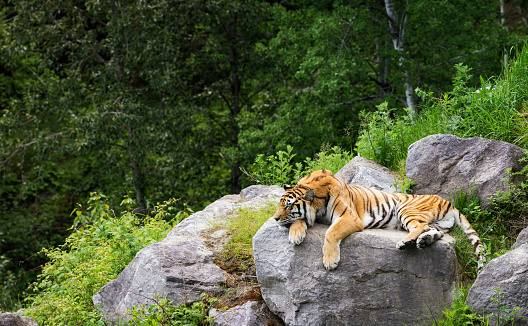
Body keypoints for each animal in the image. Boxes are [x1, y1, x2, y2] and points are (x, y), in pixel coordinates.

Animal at [274, 169, 484, 272]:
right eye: (280, 205)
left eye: (288, 206)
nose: (275, 218)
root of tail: (450, 202)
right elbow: (299, 221)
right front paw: (296, 235)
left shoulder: (350, 217)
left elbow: (331, 233)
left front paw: (330, 261)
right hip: (437, 224)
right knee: (435, 231)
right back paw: (423, 241)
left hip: (405, 209)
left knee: (420, 226)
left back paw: (405, 242)